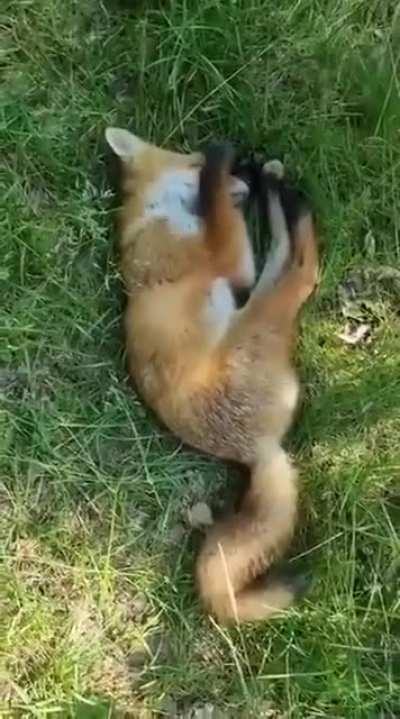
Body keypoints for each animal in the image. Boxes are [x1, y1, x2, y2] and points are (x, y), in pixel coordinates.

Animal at [105, 127, 319, 624]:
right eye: (193, 158)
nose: (245, 179)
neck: (154, 215)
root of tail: (258, 450)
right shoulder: (230, 262)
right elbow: (220, 214)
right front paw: (222, 166)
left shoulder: (228, 259)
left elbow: (221, 214)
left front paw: (250, 172)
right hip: (259, 313)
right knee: (301, 267)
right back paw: (289, 199)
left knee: (288, 256)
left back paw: (279, 189)